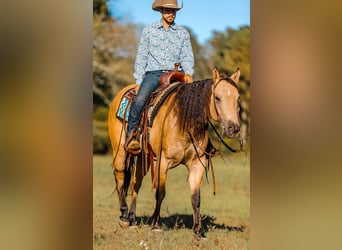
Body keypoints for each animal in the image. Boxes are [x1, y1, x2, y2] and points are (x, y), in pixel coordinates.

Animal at [107, 67, 240, 237]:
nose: (233, 128)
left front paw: (198, 230)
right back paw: (124, 216)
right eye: (217, 98)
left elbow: (196, 197)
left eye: (237, 98)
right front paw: (155, 225)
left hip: (143, 157)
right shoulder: (163, 162)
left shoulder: (197, 164)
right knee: (120, 176)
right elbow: (160, 193)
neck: (184, 120)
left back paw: (132, 219)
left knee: (136, 182)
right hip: (120, 151)